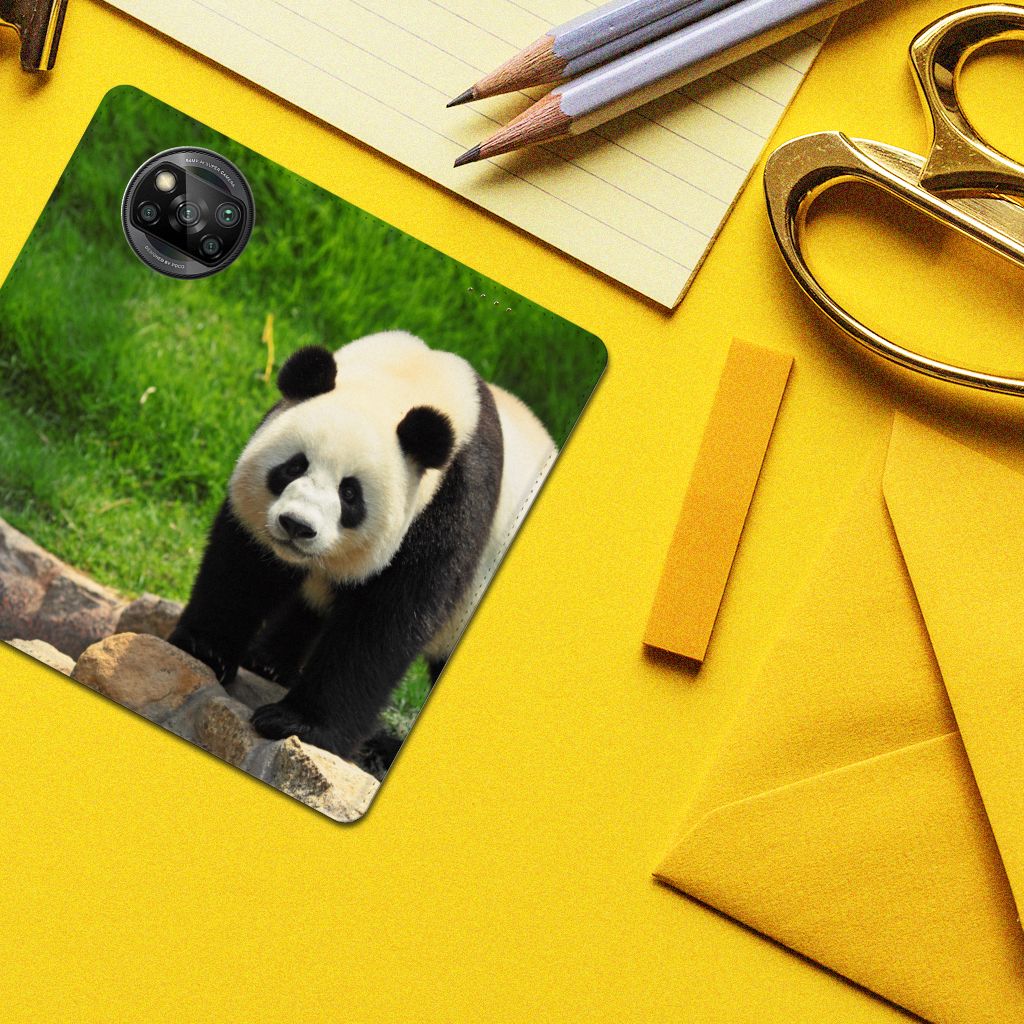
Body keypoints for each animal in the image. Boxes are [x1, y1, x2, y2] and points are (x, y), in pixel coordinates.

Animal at [170, 331, 556, 763]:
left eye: (350, 493)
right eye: (294, 466)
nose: (297, 526)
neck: (405, 380)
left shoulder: (452, 502)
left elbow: (386, 622)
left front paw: (297, 723)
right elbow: (245, 567)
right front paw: (204, 649)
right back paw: (270, 662)